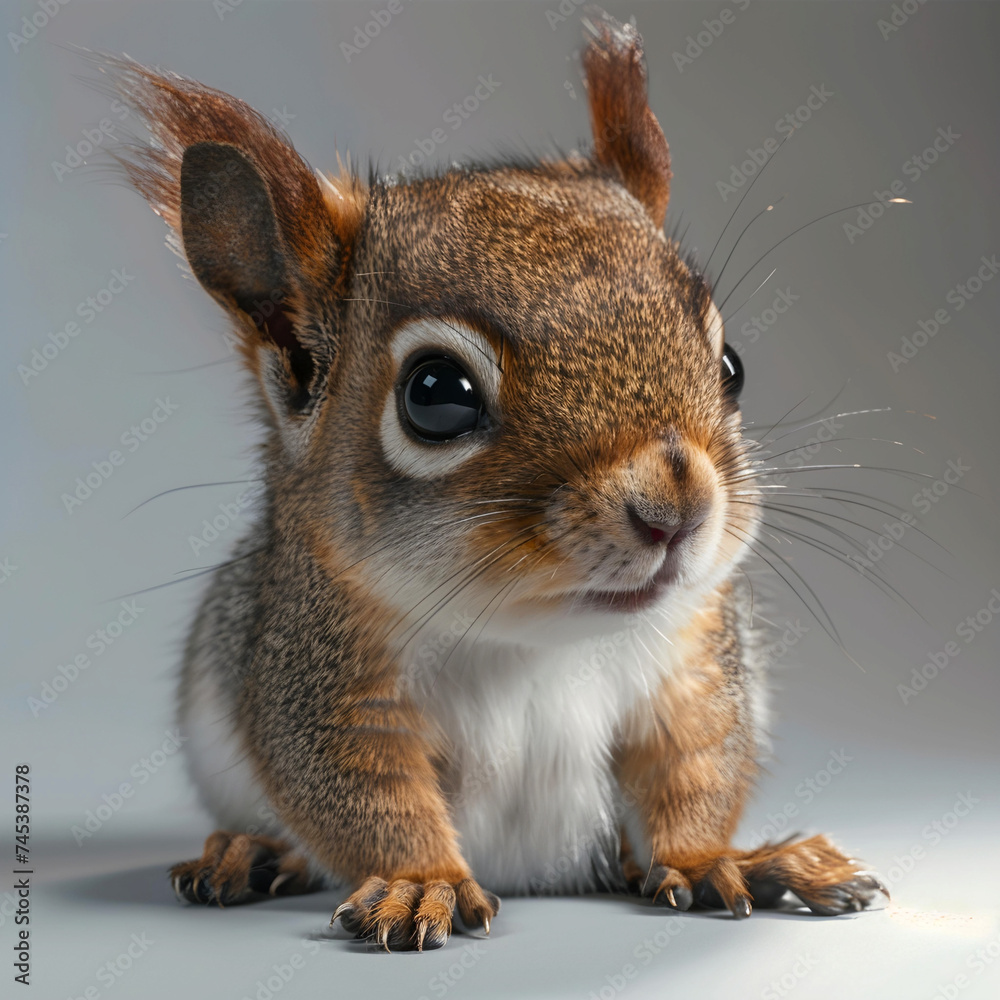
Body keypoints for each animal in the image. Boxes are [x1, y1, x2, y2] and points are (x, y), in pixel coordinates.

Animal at [103, 8, 888, 951]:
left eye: (731, 365)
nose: (676, 511)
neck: (535, 639)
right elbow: (364, 795)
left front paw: (708, 860)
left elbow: (695, 768)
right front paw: (420, 882)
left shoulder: (691, 664)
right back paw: (250, 851)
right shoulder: (324, 680)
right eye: (436, 393)